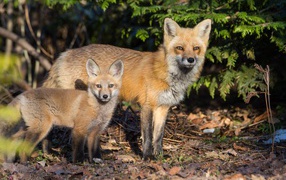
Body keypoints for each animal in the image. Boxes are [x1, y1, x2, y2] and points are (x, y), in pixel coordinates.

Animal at [43, 17, 212, 159]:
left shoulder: (163, 107)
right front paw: (147, 157)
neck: (168, 74)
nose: (190, 59)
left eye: (196, 48)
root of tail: (65, 53)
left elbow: (158, 136)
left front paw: (159, 156)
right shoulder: (147, 105)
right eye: (180, 48)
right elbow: (148, 136)